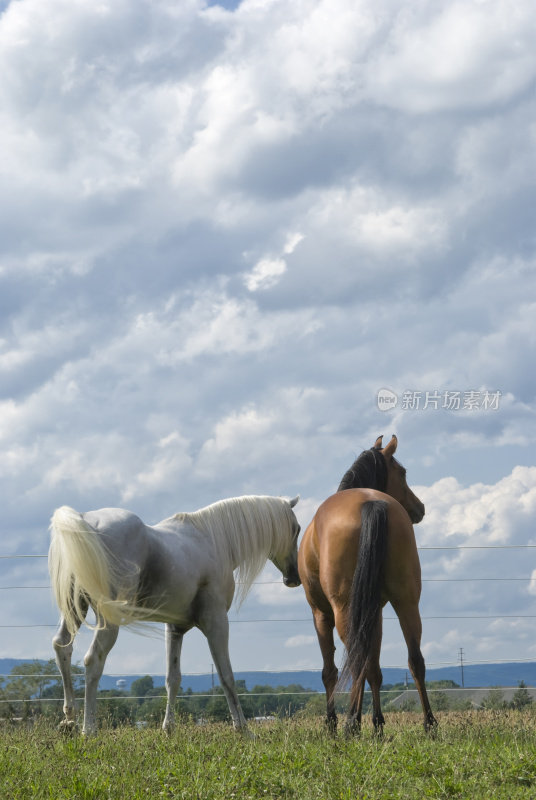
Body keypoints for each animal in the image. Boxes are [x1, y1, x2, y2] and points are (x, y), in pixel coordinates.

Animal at [49, 494, 302, 736]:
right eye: (297, 529)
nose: (293, 578)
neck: (213, 541)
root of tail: (85, 521)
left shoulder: (175, 628)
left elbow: (173, 678)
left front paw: (168, 728)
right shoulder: (217, 622)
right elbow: (226, 676)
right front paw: (243, 730)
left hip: (75, 609)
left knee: (62, 646)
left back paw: (69, 720)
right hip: (107, 622)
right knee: (93, 660)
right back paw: (88, 729)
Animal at [300, 434, 438, 736]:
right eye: (403, 472)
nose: (421, 508)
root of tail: (371, 503)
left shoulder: (320, 613)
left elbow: (331, 670)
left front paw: (334, 723)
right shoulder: (376, 612)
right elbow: (375, 668)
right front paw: (377, 723)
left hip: (344, 609)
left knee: (355, 660)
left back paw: (351, 723)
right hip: (406, 601)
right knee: (414, 659)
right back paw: (429, 724)